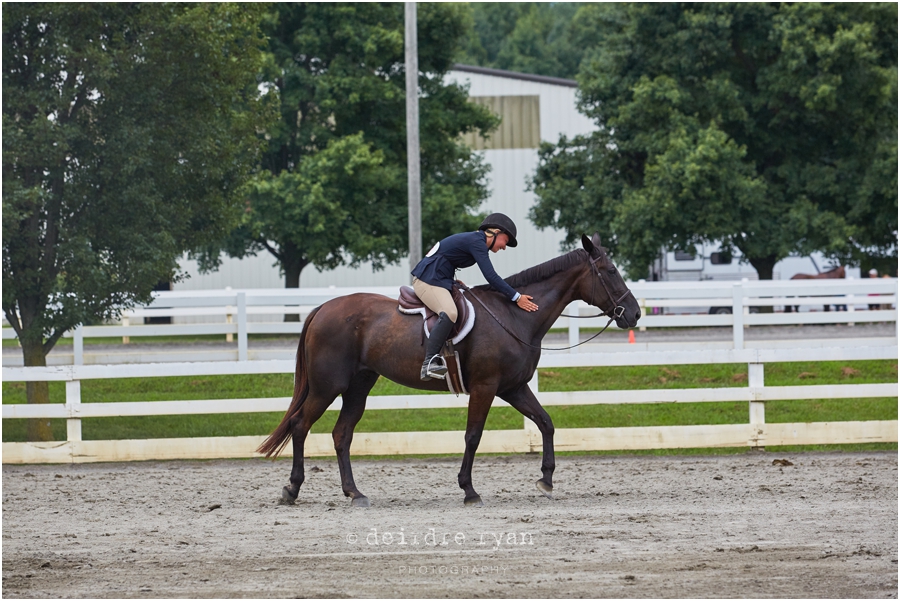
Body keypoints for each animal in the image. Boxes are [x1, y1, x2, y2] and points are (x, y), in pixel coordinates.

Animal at [256, 234, 644, 506]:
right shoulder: (487, 387)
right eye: (610, 271)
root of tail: (322, 308)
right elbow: (473, 436)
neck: (513, 316)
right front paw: (469, 490)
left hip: (359, 386)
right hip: (328, 386)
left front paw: (546, 480)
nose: (635, 313)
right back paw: (292, 489)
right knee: (300, 425)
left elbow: (546, 423)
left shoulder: (514, 387)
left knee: (342, 434)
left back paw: (355, 493)